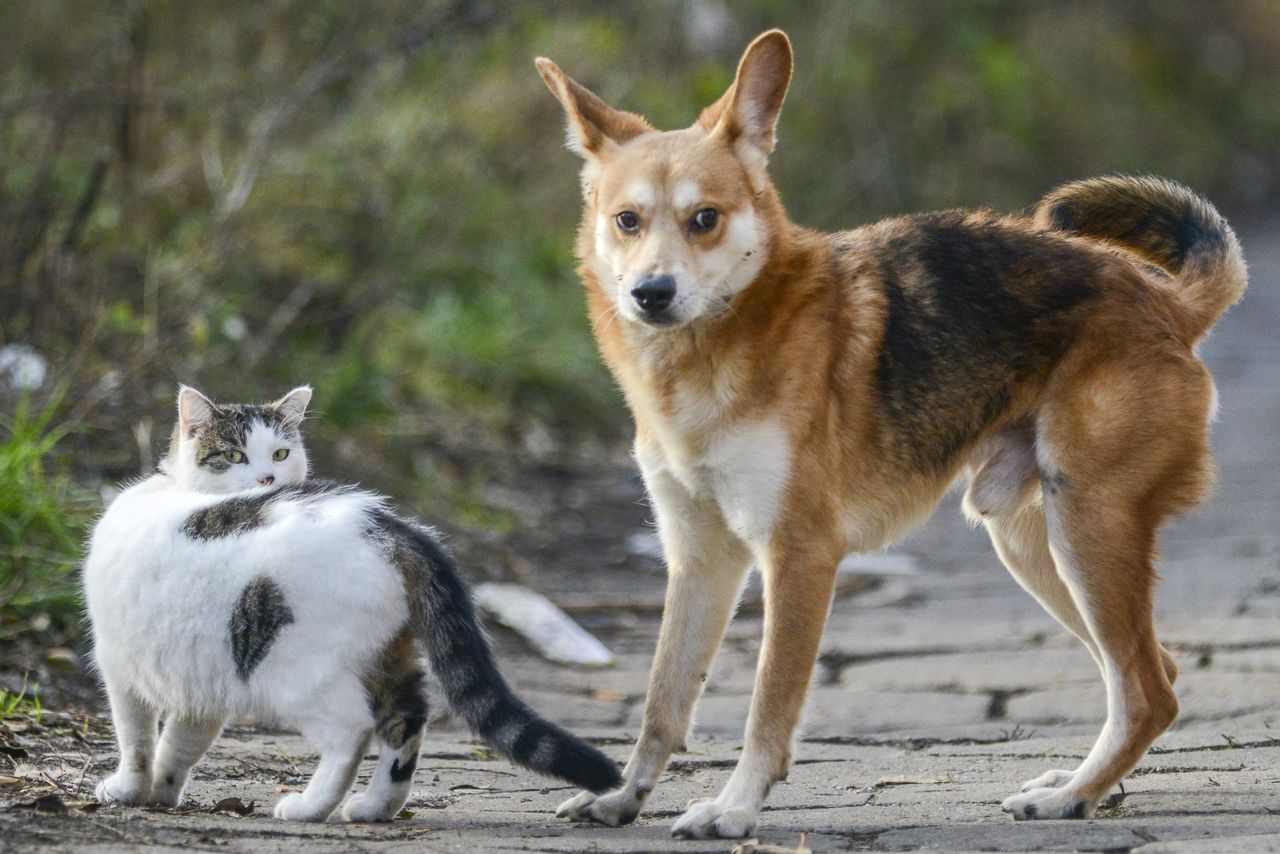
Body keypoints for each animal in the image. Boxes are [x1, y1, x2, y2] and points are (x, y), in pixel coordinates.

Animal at [82, 386, 622, 819]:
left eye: (280, 453)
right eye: (233, 456)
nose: (266, 481)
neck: (176, 488)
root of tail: (389, 527)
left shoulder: (119, 662)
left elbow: (136, 739)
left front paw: (128, 789)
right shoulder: (205, 683)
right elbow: (180, 744)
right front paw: (163, 792)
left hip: (298, 672)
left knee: (352, 730)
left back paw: (308, 807)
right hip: (387, 655)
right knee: (407, 723)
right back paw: (374, 808)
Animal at [535, 30, 1244, 839]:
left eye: (704, 219)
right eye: (627, 220)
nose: (651, 294)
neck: (712, 350)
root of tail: (1167, 302)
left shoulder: (799, 556)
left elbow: (767, 707)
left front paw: (736, 807)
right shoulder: (698, 560)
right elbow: (663, 702)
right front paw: (624, 795)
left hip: (1085, 529)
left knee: (1149, 688)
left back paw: (1068, 796)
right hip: (1033, 541)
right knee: (1151, 673)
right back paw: (1083, 785)